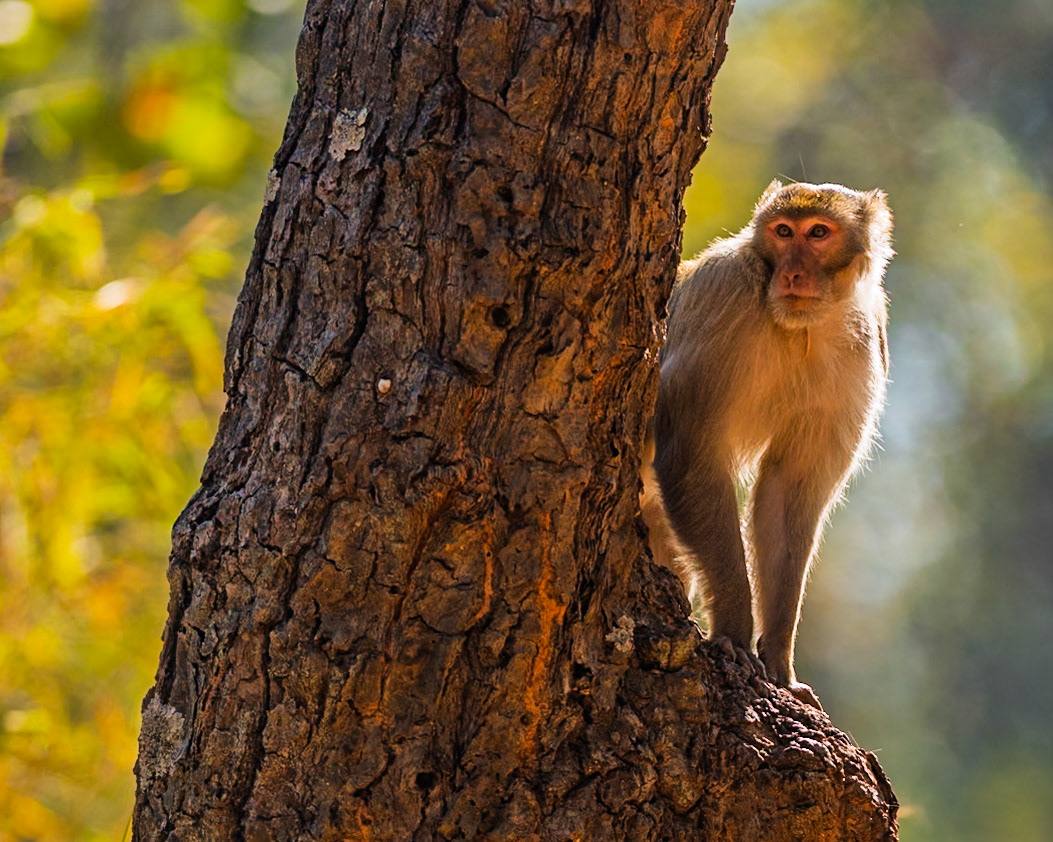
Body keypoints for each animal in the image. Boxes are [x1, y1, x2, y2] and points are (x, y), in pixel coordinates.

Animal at [646, 180, 894, 708]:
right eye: (783, 232)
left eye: (818, 233)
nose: (793, 272)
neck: (800, 329)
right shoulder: (723, 298)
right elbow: (691, 455)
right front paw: (735, 630)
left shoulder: (865, 345)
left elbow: (785, 494)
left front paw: (779, 656)